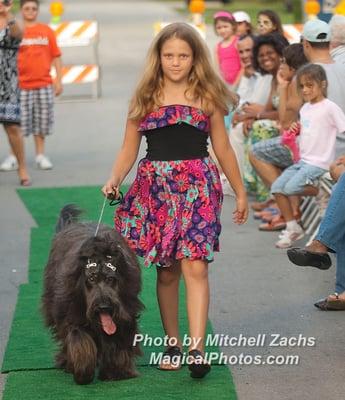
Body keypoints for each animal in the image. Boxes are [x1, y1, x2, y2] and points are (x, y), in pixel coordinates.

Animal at [42, 206, 143, 384]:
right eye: (91, 278)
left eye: (110, 279)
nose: (104, 306)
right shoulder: (72, 312)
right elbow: (80, 339)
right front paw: (83, 370)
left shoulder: (125, 311)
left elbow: (117, 339)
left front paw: (116, 371)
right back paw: (67, 362)